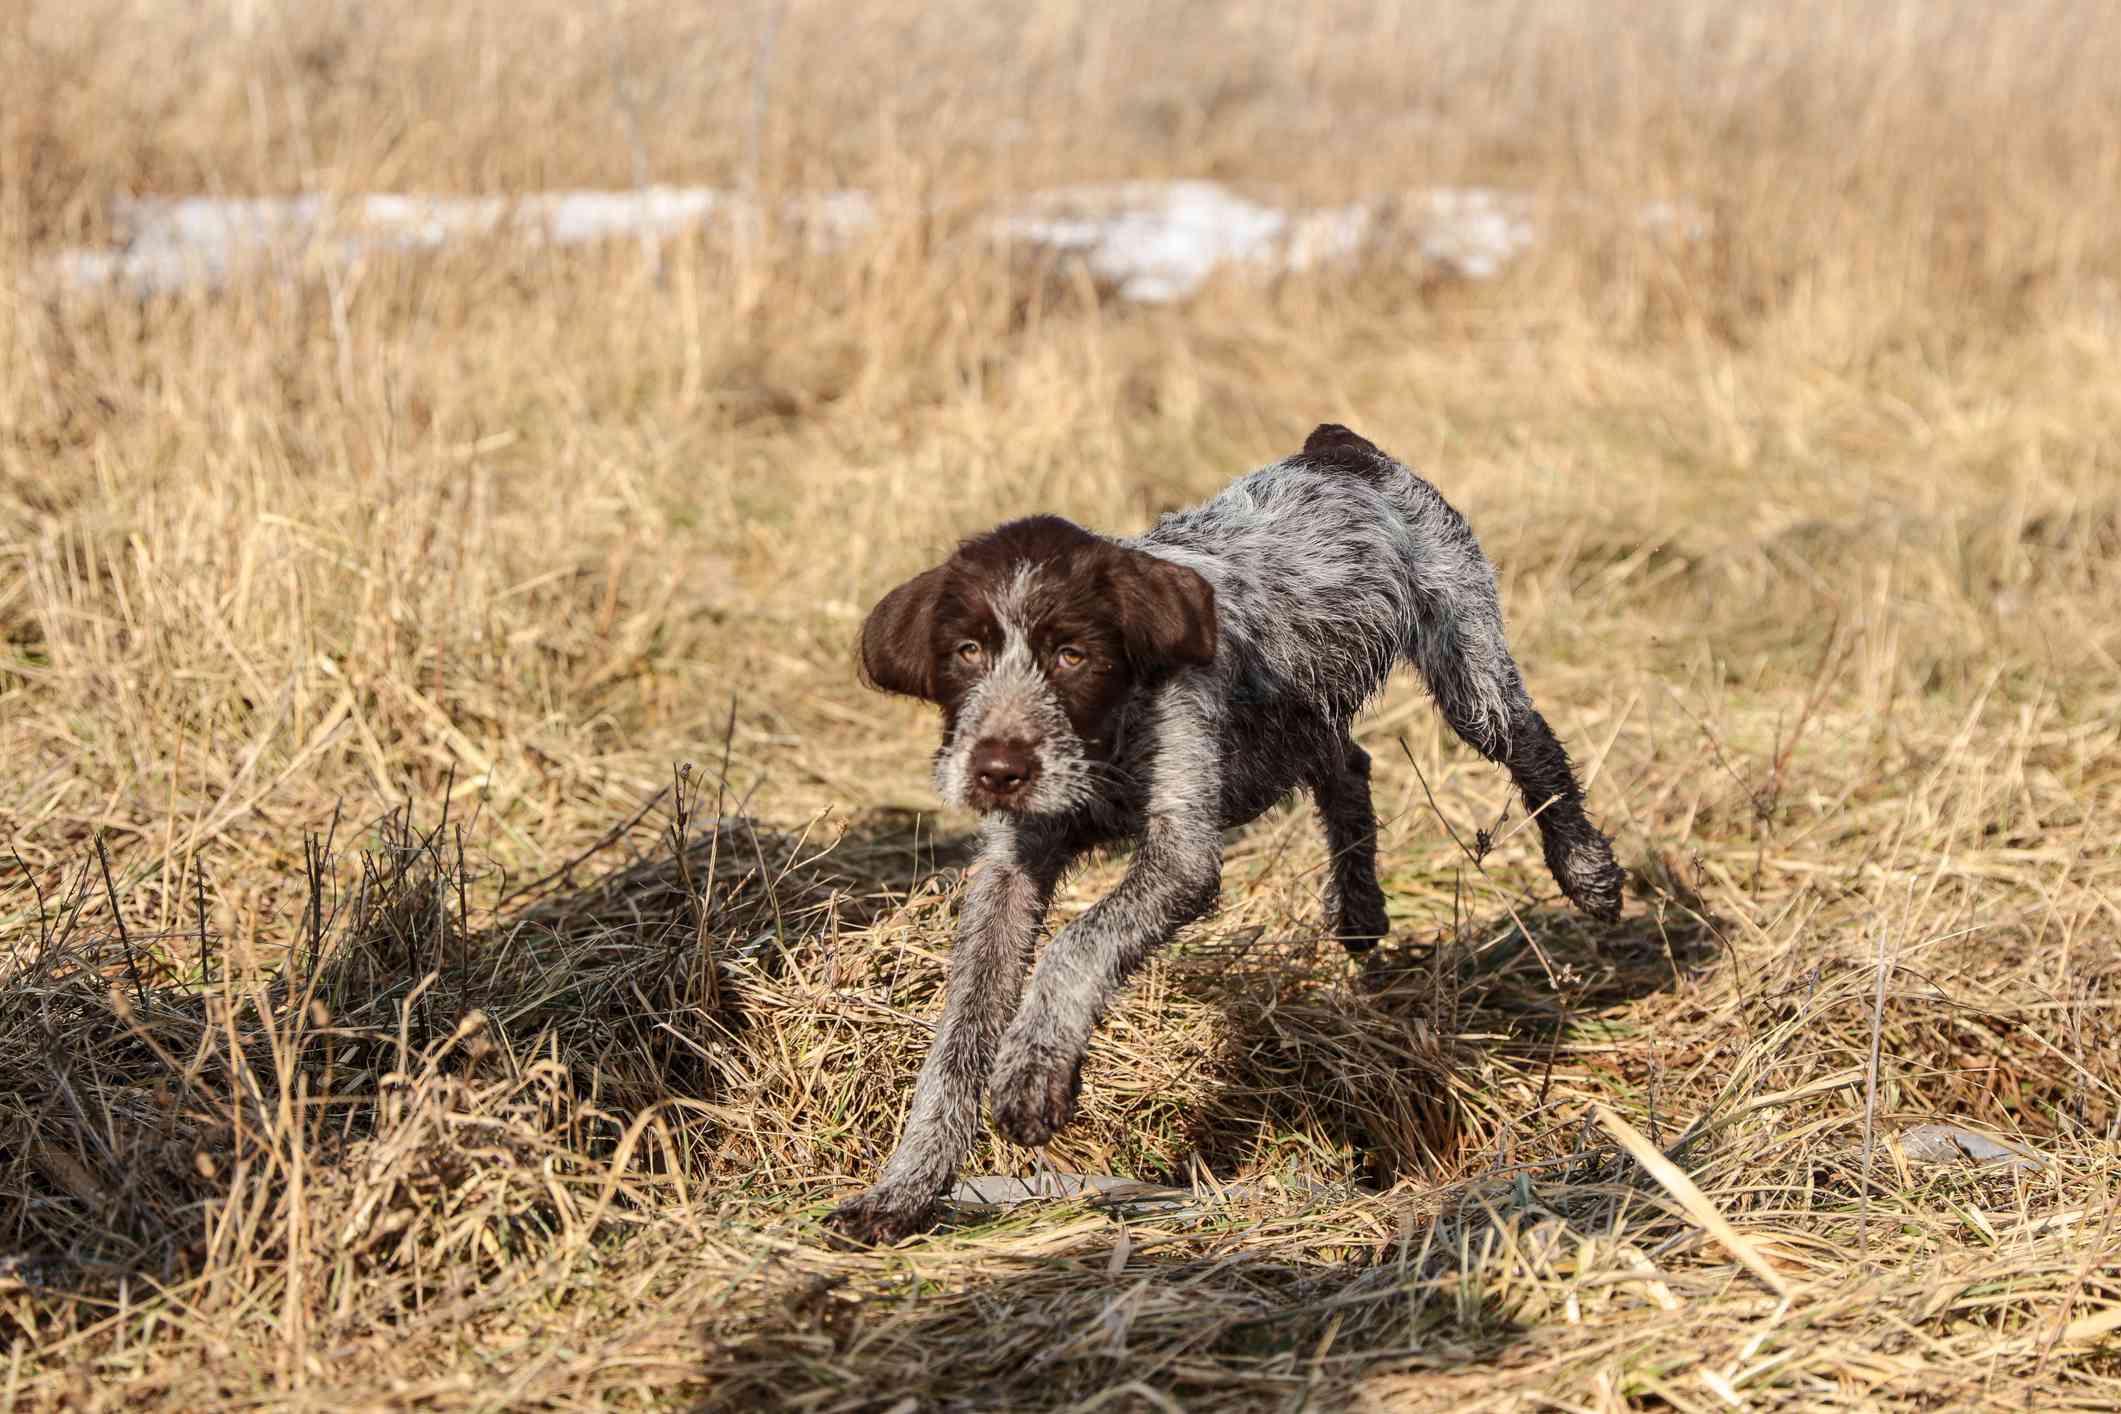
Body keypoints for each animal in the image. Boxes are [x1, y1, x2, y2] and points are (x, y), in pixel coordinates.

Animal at [827, 426, 1620, 1246]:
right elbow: (958, 1038)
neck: (1106, 739)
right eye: (967, 652)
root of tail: (1337, 448)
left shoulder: (1178, 855)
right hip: (1307, 714)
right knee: (1347, 763)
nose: (997, 771)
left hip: (1467, 668)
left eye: (1073, 655)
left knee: (1531, 746)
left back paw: (1584, 867)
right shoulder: (1012, 873)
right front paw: (906, 1187)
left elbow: (1078, 943)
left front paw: (1033, 1070)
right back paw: (1359, 907)